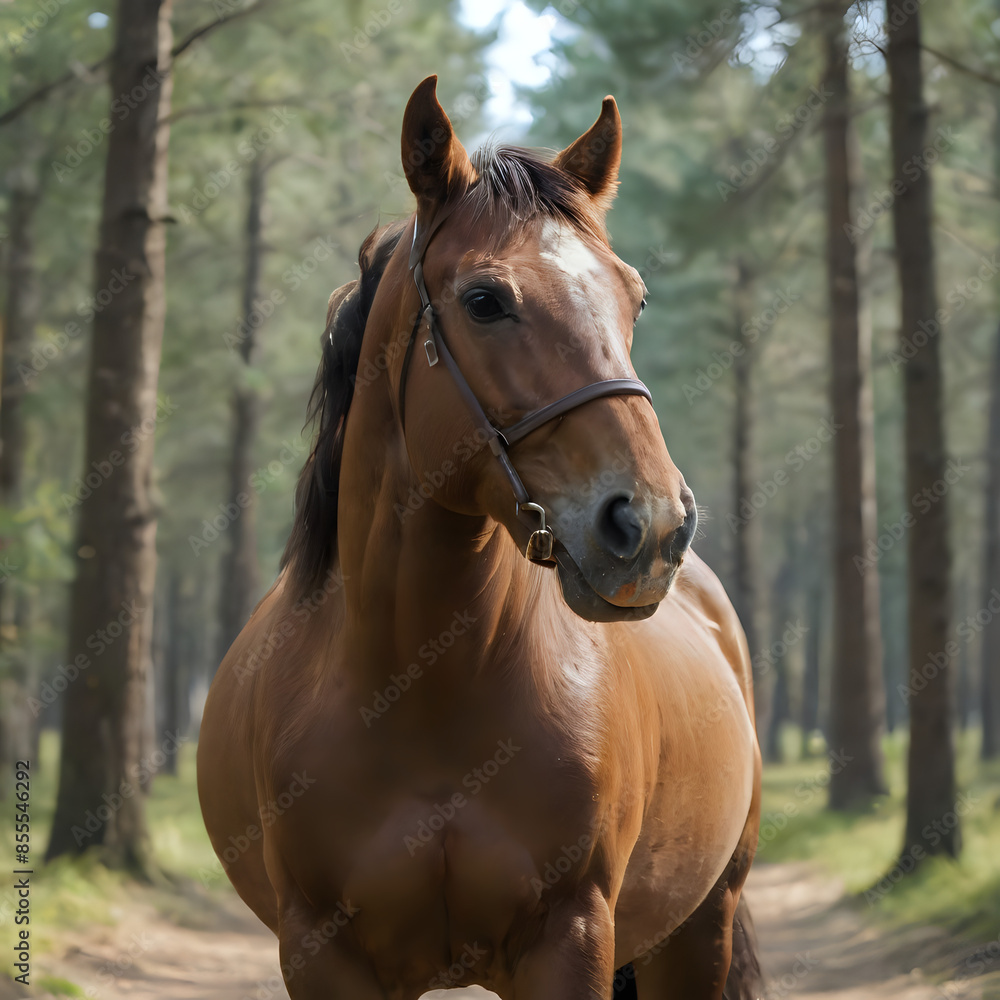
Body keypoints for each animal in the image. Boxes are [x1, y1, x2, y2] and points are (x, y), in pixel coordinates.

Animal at [198, 75, 762, 1000]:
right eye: (485, 301)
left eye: (634, 297)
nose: (650, 523)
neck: (422, 690)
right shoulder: (322, 953)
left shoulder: (570, 938)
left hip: (699, 928)